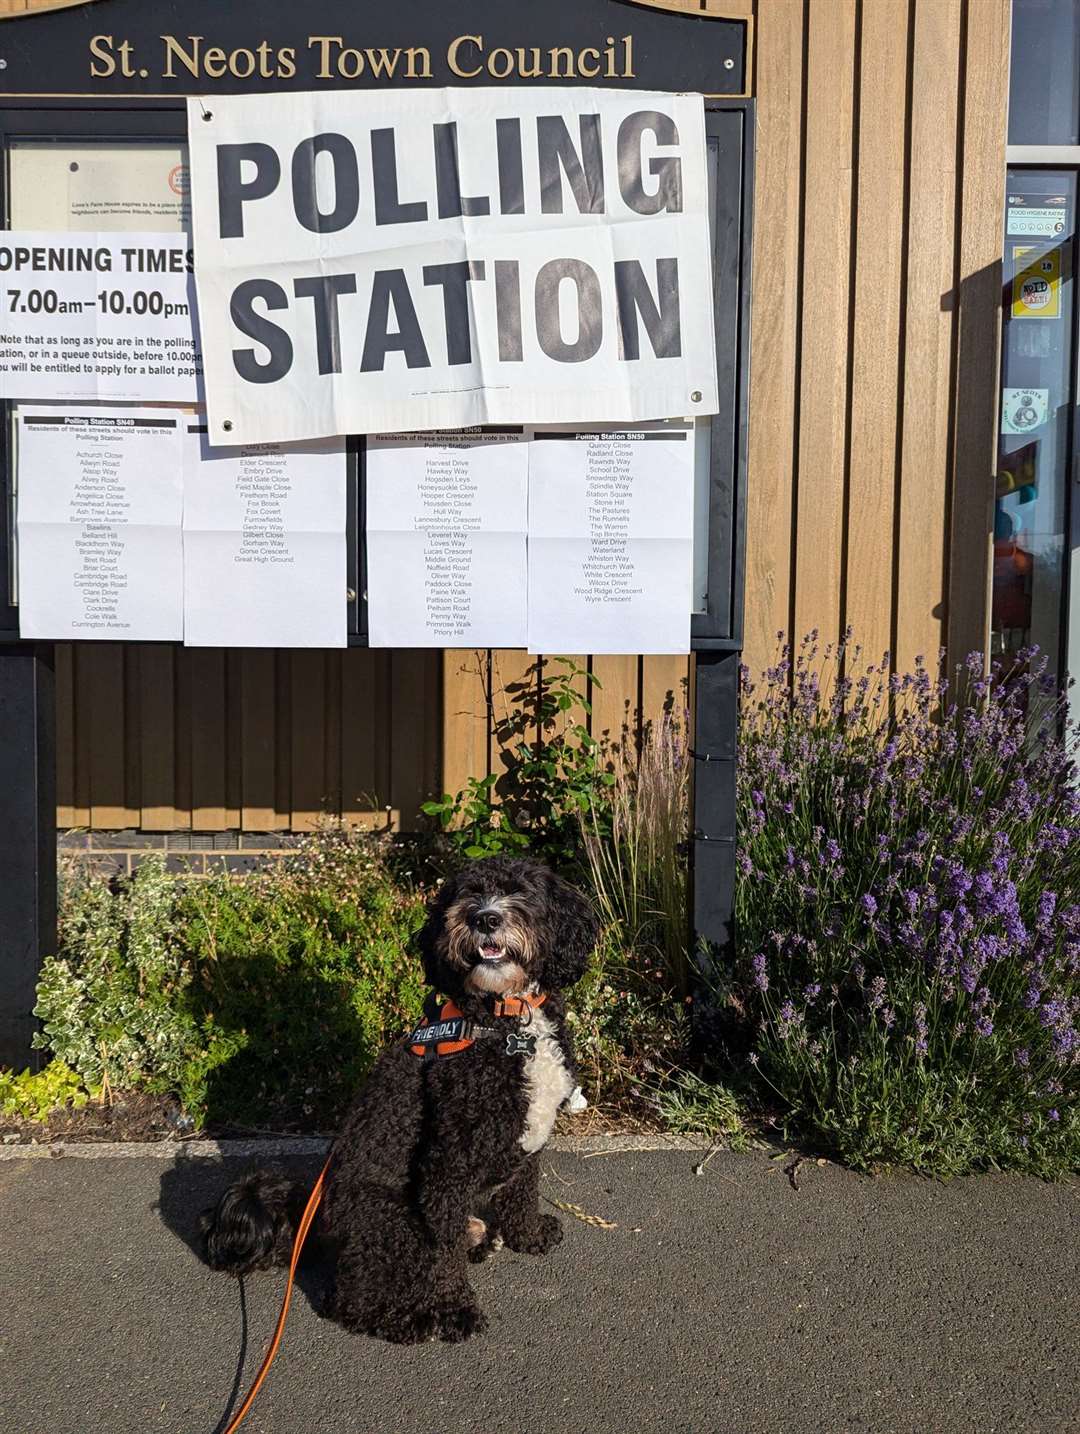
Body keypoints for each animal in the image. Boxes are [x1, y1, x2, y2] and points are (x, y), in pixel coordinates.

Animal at [197, 854, 593, 1336]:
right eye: (467, 894)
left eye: (521, 890)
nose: (484, 918)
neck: (505, 1021)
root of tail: (316, 1222)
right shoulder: (448, 1161)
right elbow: (444, 1255)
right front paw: (454, 1308)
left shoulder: (527, 1141)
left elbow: (521, 1191)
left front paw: (528, 1235)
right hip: (393, 1223)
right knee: (351, 1300)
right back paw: (414, 1321)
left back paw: (479, 1239)